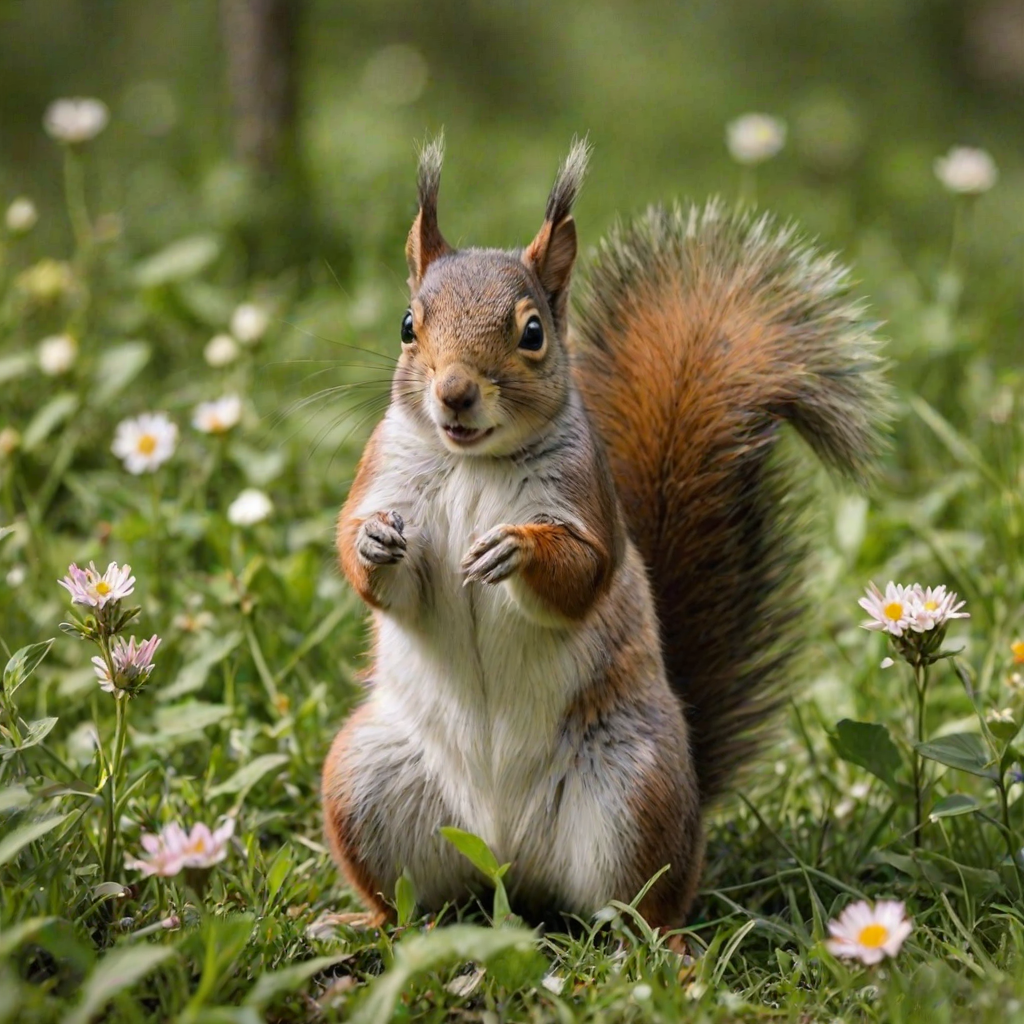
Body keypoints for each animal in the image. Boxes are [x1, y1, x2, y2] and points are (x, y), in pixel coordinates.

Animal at [321, 135, 888, 930]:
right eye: (408, 325)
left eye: (532, 333)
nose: (455, 392)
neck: (472, 464)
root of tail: (507, 863)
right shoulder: (382, 476)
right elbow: (371, 571)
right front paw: (374, 543)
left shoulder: (587, 501)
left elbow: (583, 572)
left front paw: (516, 547)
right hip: (363, 780)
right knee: (409, 899)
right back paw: (365, 921)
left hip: (634, 787)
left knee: (644, 903)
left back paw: (662, 946)